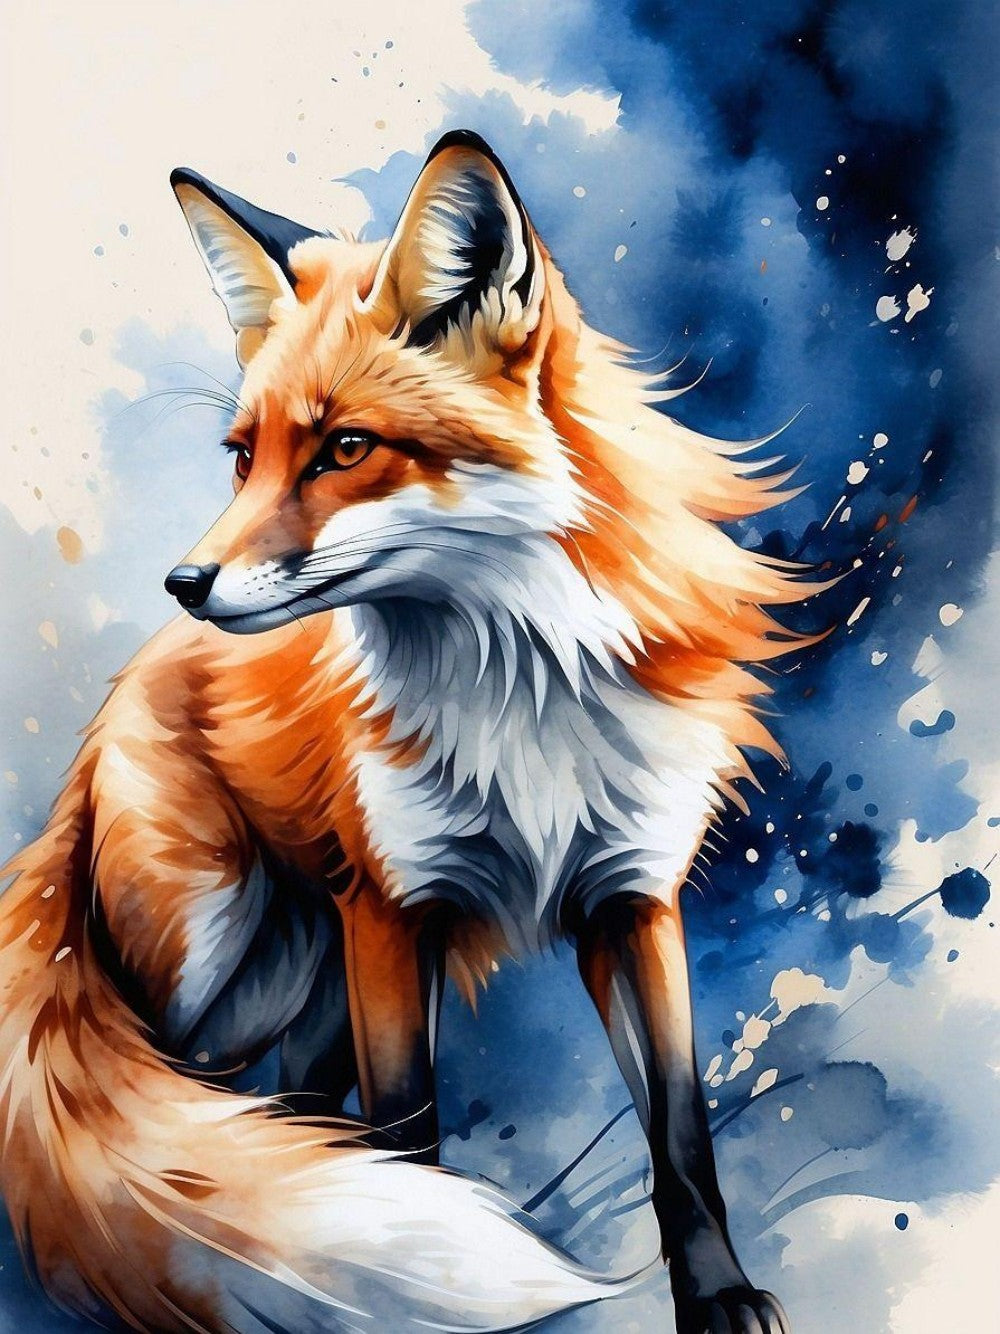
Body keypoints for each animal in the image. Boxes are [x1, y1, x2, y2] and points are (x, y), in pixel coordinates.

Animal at [0, 130, 811, 1333]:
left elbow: (681, 1135)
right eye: (241, 455)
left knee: (283, 1113)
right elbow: (409, 1131)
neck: (521, 696)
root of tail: (113, 704)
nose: (186, 582)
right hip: (207, 958)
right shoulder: (393, 910)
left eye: (344, 448)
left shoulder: (632, 897)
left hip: (302, 985)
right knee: (186, 1111)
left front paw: (718, 1294)